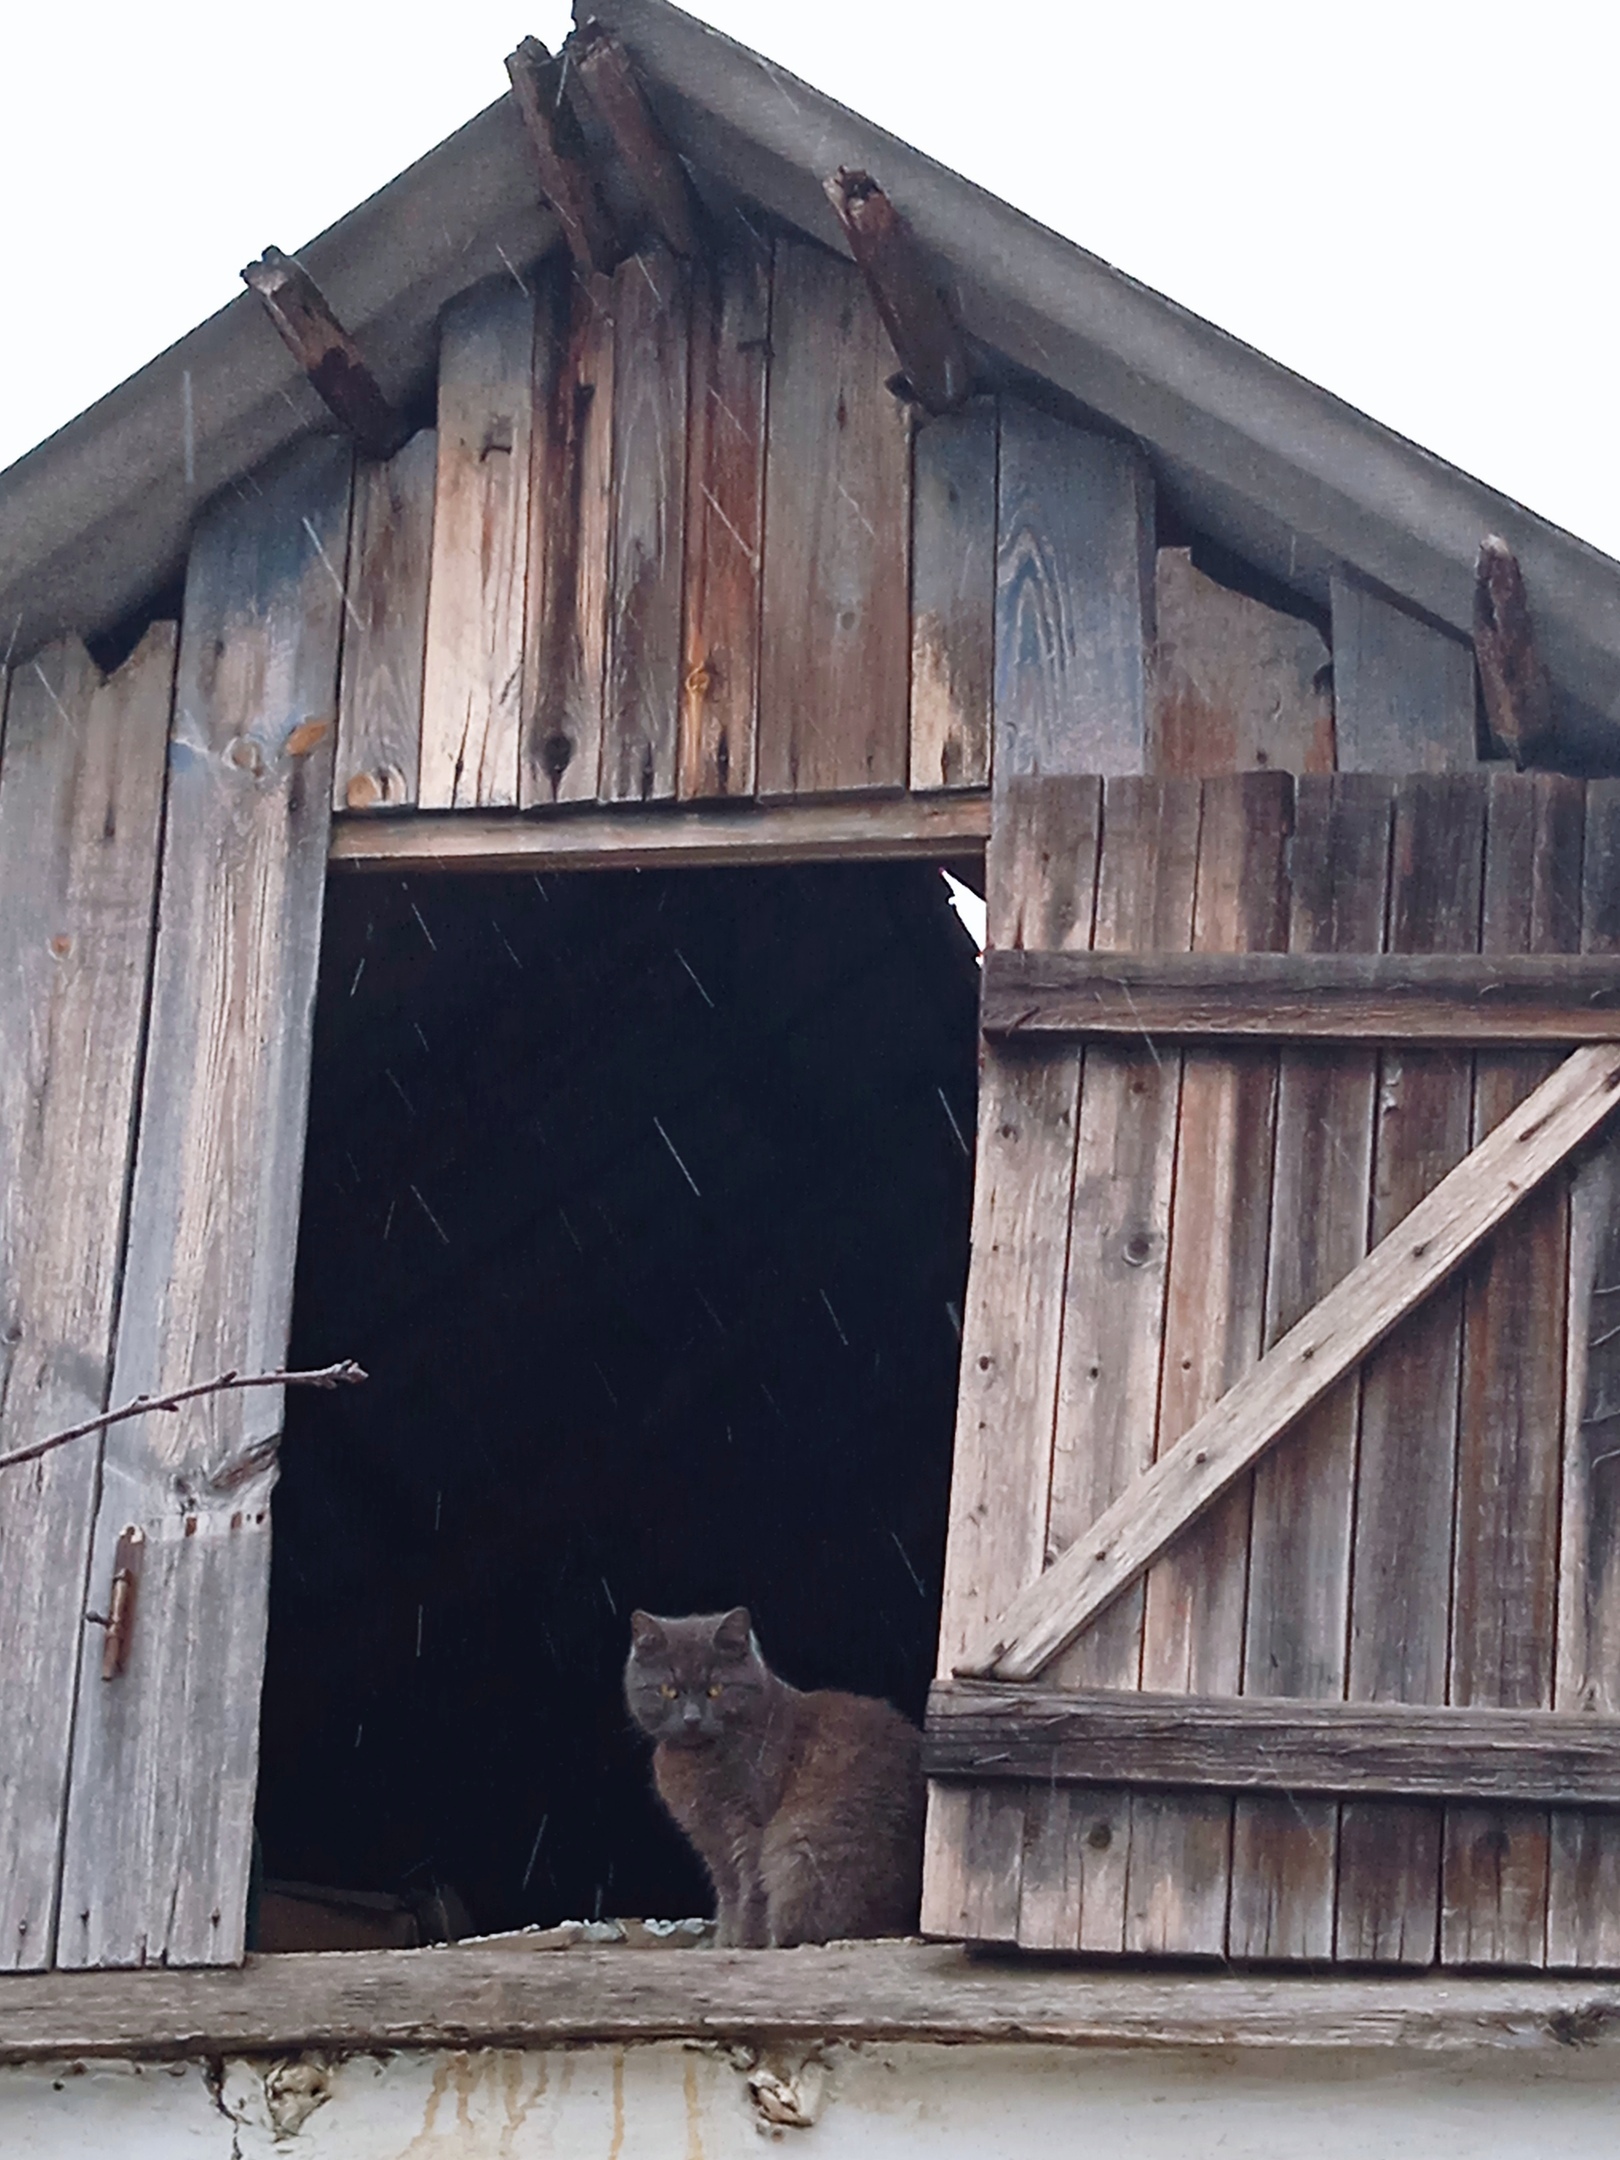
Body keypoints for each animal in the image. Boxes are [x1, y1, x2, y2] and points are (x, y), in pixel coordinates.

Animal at [626, 1607, 924, 1944]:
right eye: (668, 1690)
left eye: (715, 1690)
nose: (692, 1718)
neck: (697, 1761)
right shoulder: (712, 1841)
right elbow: (728, 1893)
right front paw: (724, 1941)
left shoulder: (751, 1825)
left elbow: (751, 1890)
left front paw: (745, 1942)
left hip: (801, 1850)